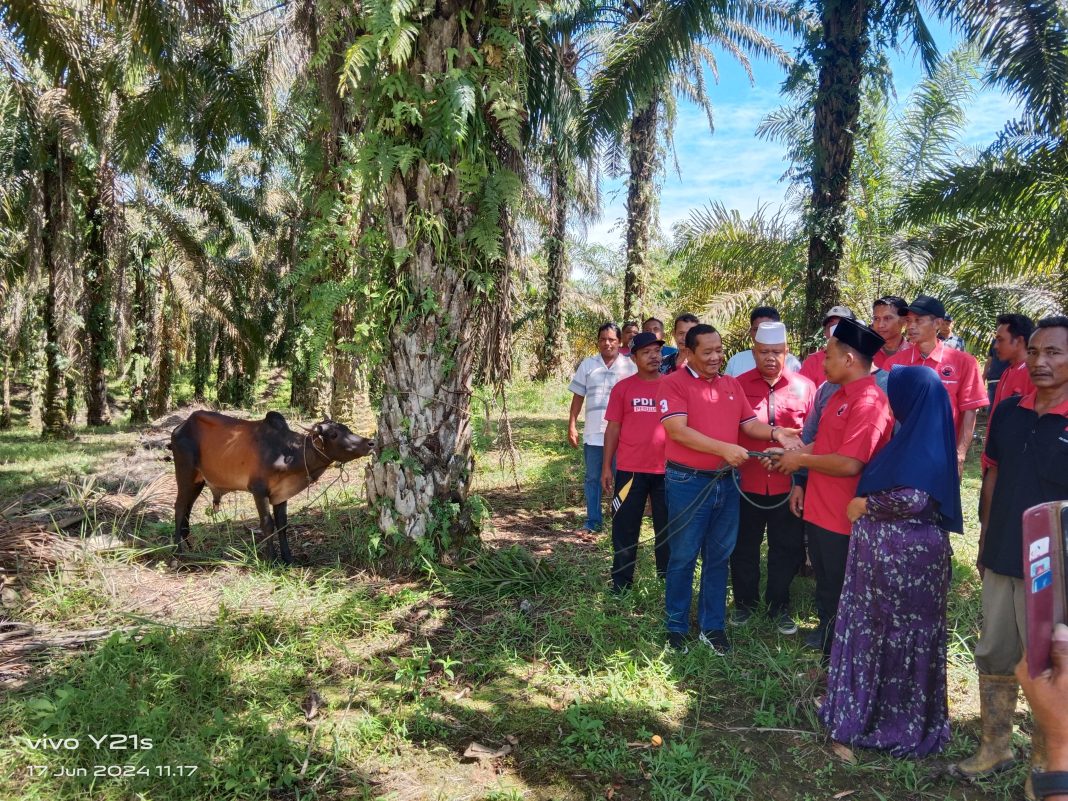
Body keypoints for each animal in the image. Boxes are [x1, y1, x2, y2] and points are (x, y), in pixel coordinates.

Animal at [170, 414, 375, 563]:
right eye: (333, 435)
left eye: (347, 429)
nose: (370, 443)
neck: (287, 453)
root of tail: (179, 428)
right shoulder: (258, 491)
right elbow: (267, 524)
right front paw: (272, 560)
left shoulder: (281, 494)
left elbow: (282, 524)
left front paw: (288, 558)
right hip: (185, 474)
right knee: (179, 508)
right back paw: (178, 554)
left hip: (198, 482)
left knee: (187, 509)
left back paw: (189, 548)